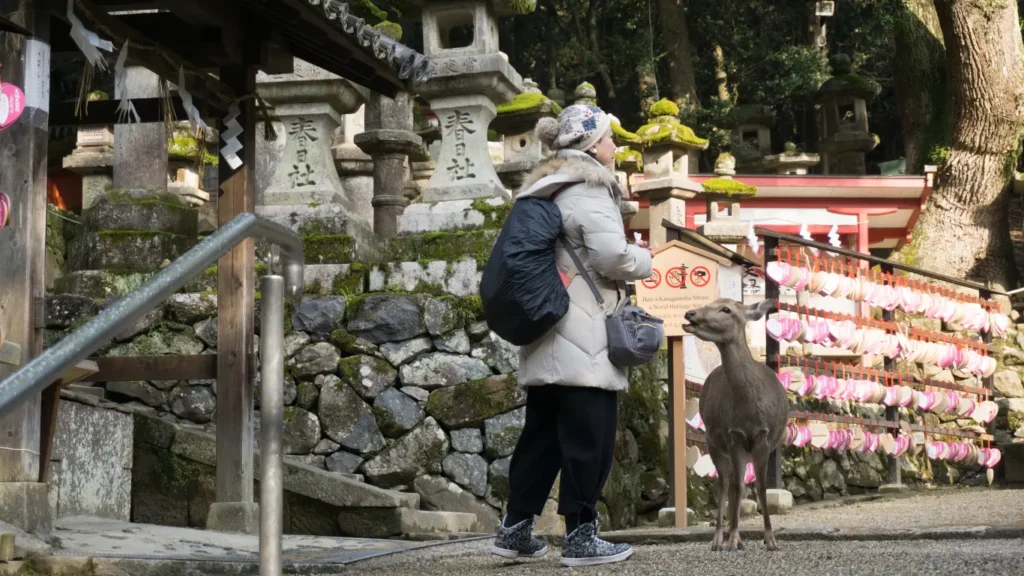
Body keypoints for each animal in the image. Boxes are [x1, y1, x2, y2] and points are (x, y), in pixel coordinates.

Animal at [684, 297, 786, 549]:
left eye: (726, 309)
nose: (690, 313)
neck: (748, 410)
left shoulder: (763, 437)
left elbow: (760, 487)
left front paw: (770, 539)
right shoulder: (734, 436)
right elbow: (738, 488)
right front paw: (732, 538)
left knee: (732, 485)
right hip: (713, 443)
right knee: (724, 485)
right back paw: (719, 538)